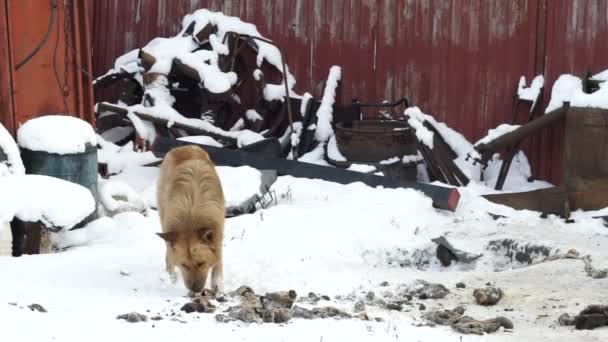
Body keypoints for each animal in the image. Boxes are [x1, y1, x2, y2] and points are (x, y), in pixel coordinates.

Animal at [156, 145, 224, 294]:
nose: (195, 290)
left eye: (201, 263)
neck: (190, 219)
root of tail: (184, 146)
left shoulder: (218, 236)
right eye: (184, 265)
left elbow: (218, 263)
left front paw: (217, 285)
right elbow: (170, 257)